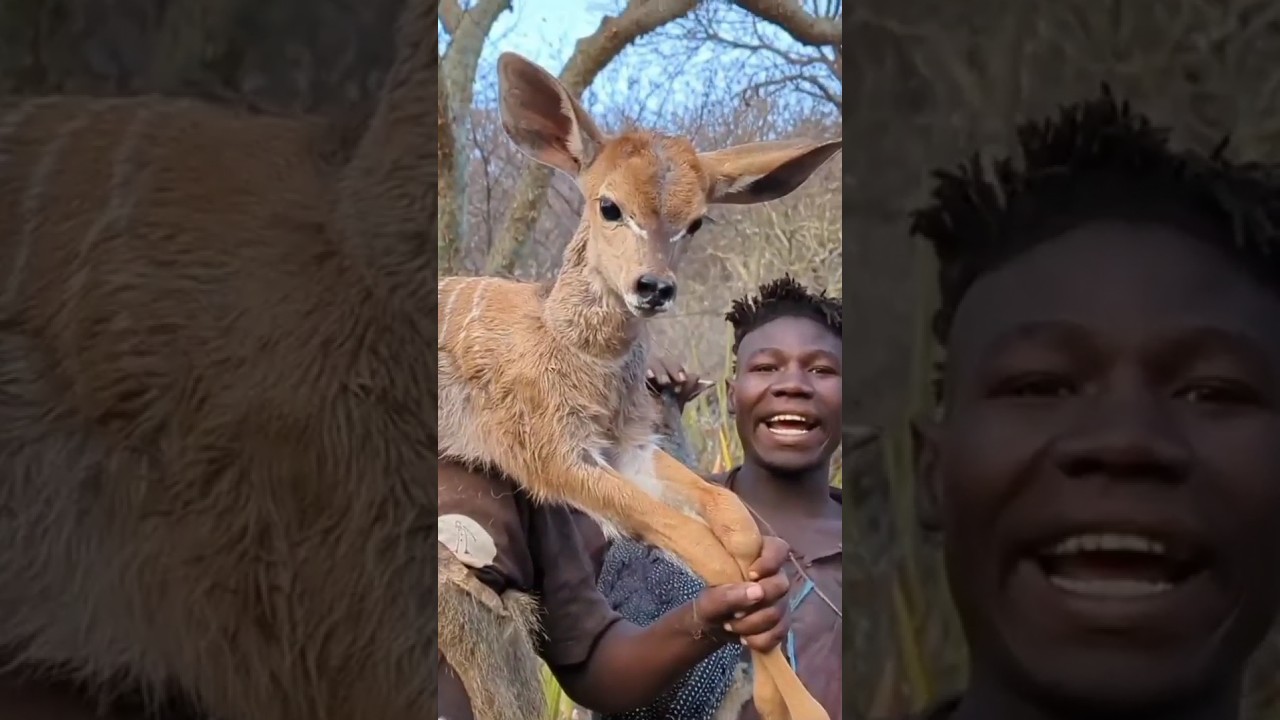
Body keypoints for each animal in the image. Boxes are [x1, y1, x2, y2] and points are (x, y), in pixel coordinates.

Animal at [437, 53, 839, 717]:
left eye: (696, 220)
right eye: (609, 206)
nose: (654, 287)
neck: (571, 348)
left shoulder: (627, 446)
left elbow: (730, 518)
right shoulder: (550, 455)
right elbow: (699, 543)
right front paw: (800, 704)